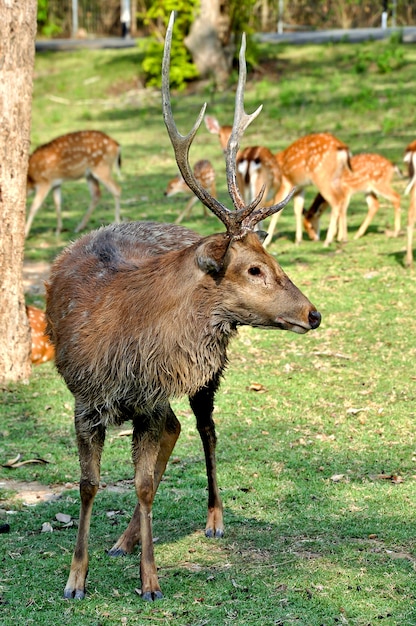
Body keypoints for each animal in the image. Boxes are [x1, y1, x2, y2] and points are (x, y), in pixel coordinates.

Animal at [47, 13, 324, 600]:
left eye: (271, 256)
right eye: (254, 268)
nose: (313, 313)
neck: (124, 340)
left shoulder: (150, 398)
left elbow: (146, 483)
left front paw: (150, 581)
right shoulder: (86, 399)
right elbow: (88, 484)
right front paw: (76, 578)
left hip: (206, 374)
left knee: (201, 428)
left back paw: (211, 518)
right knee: (174, 434)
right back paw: (124, 540)